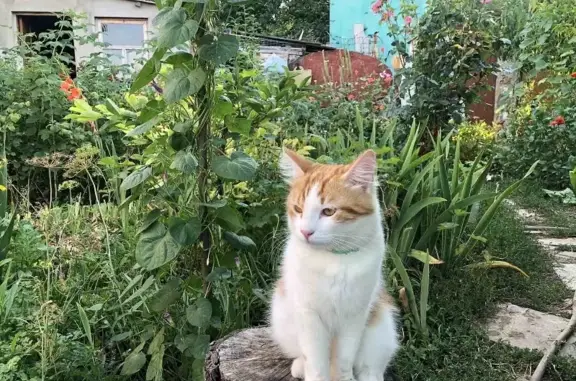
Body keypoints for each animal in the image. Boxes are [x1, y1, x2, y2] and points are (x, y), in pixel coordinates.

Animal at [268, 148, 396, 380]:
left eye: (329, 211)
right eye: (298, 209)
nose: (305, 231)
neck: (334, 259)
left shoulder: (355, 315)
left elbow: (344, 360)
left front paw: (343, 377)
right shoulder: (308, 314)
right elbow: (316, 362)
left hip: (381, 330)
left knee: (370, 366)